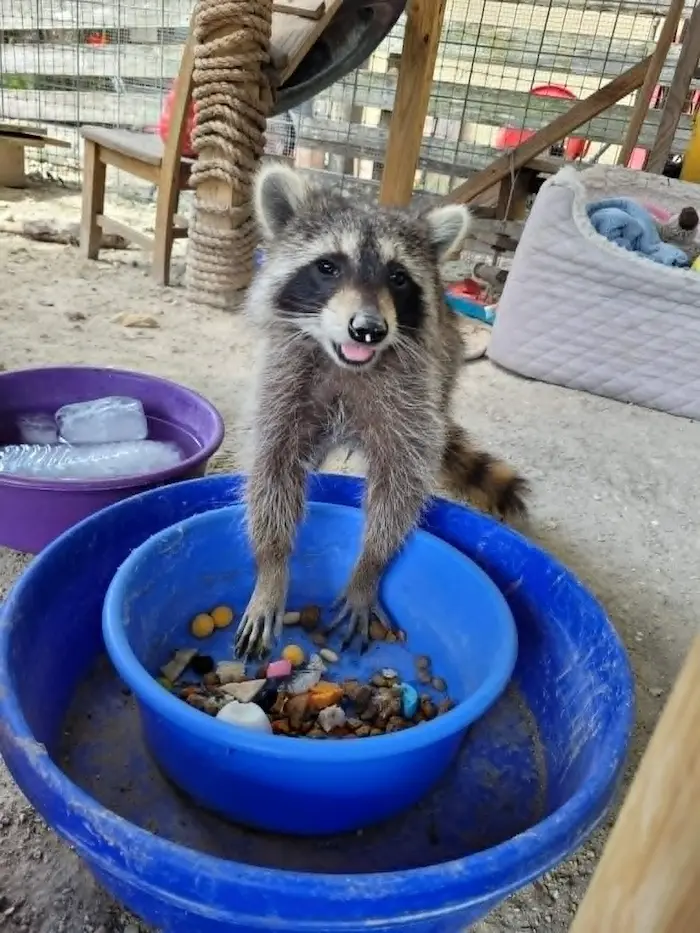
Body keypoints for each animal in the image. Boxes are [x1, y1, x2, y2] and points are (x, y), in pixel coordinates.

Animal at [234, 162, 528, 657]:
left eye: (398, 277)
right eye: (328, 266)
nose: (369, 328)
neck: (345, 361)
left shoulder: (409, 396)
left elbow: (400, 483)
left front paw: (369, 565)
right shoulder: (284, 385)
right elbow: (273, 473)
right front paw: (272, 567)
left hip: (444, 366)